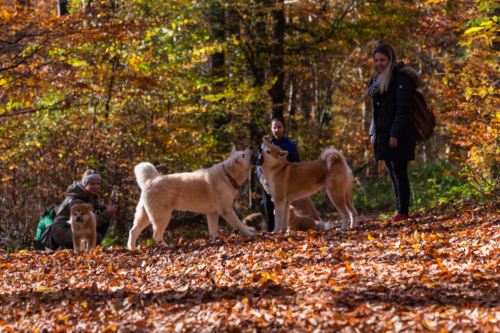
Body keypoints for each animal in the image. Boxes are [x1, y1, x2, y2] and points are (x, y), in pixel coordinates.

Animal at [128, 146, 258, 249]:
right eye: (243, 155)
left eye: (243, 151)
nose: (252, 146)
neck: (227, 175)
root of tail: (149, 180)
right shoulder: (226, 211)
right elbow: (240, 225)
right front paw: (251, 235)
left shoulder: (212, 213)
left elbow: (214, 231)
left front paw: (217, 241)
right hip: (162, 216)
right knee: (156, 235)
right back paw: (167, 247)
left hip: (146, 217)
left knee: (133, 231)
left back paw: (132, 249)